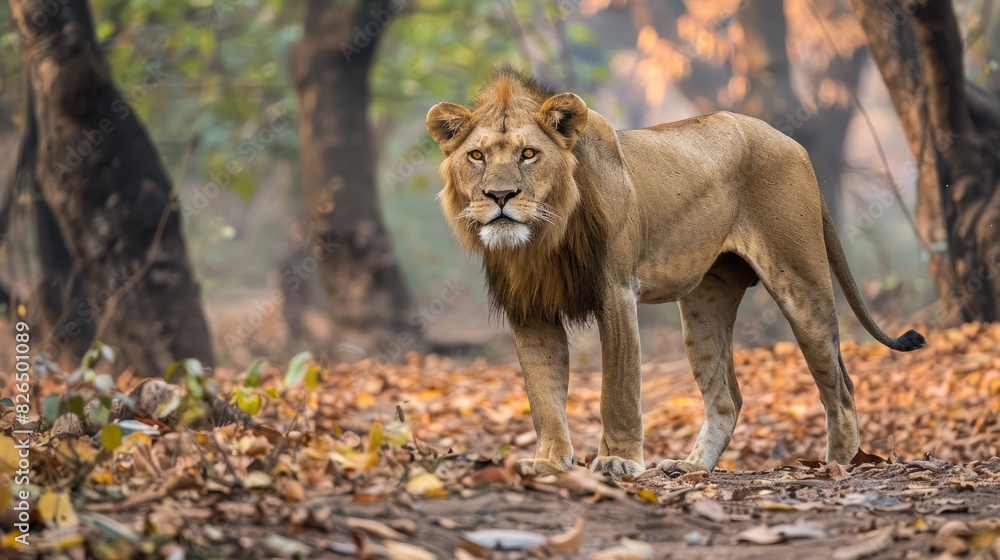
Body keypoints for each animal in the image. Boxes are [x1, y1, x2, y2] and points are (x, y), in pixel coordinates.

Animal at [426, 66, 925, 477]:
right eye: (476, 156)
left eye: (529, 153)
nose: (500, 196)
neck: (541, 240)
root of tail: (794, 144)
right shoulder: (530, 309)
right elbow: (543, 395)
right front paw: (549, 462)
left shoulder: (616, 292)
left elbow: (618, 388)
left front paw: (619, 460)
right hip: (705, 303)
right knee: (727, 397)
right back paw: (691, 467)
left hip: (801, 284)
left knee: (840, 386)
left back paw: (840, 465)